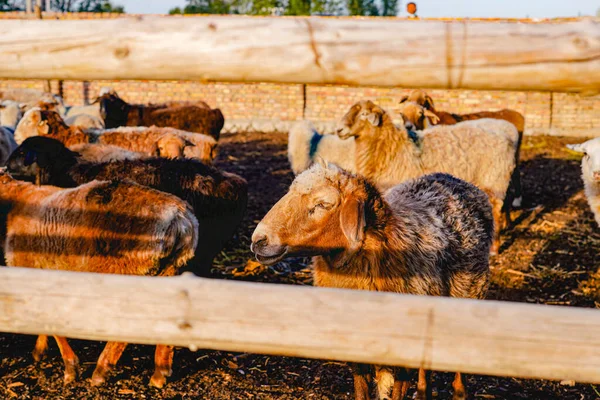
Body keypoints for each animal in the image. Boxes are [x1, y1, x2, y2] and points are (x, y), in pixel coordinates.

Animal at [0, 170, 199, 386]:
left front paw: (70, 367)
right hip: (169, 271)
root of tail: (180, 218)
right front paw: (40, 350)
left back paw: (101, 370)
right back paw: (160, 372)